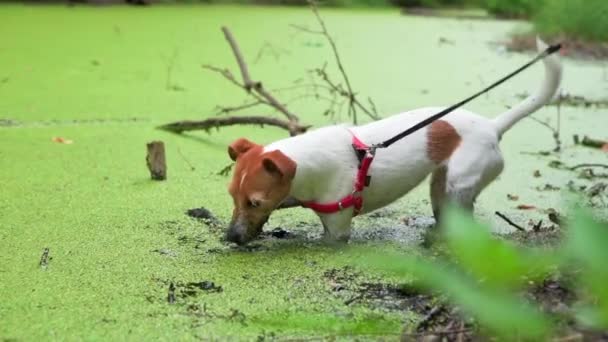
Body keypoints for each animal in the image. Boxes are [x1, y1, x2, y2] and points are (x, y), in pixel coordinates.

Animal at [226, 38, 564, 244]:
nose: (230, 238)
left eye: (255, 202)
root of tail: (492, 127)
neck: (307, 166)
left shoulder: (337, 231)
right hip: (439, 184)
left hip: (460, 182)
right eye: (231, 196)